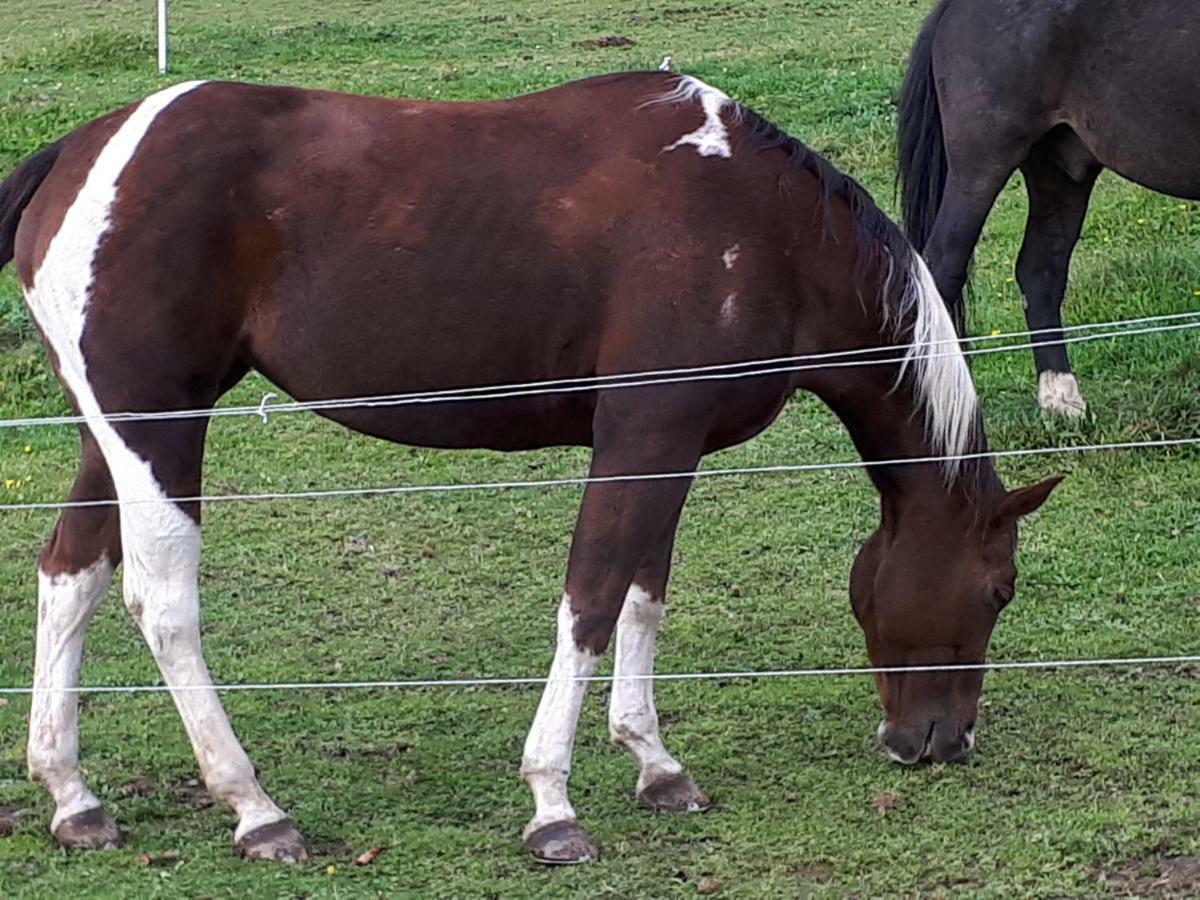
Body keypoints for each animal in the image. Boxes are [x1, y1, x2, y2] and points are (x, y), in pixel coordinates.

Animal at [0, 72, 1060, 868]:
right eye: (999, 590)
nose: (942, 742)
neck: (763, 228)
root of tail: (84, 152)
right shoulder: (641, 438)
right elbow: (589, 603)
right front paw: (554, 806)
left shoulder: (670, 447)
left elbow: (641, 599)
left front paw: (655, 764)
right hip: (157, 428)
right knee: (162, 600)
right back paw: (256, 808)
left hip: (114, 436)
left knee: (70, 573)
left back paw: (73, 796)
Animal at [902, 0, 1200, 417]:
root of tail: (952, 10)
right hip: (980, 168)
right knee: (943, 269)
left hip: (1058, 171)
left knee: (1040, 270)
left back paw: (1060, 398)